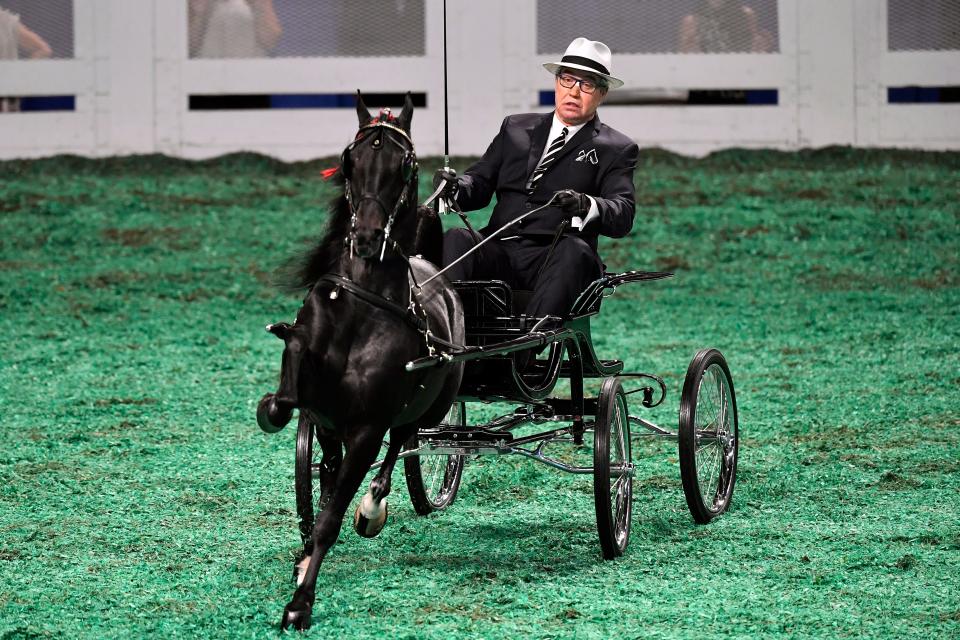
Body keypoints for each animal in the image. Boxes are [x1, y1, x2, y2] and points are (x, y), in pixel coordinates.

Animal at [255, 94, 464, 632]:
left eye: (405, 164)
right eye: (350, 161)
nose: (368, 237)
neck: (364, 305)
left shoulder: (368, 426)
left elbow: (332, 516)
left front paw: (300, 603)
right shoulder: (321, 412)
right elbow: (293, 393)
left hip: (434, 406)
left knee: (405, 441)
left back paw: (373, 507)